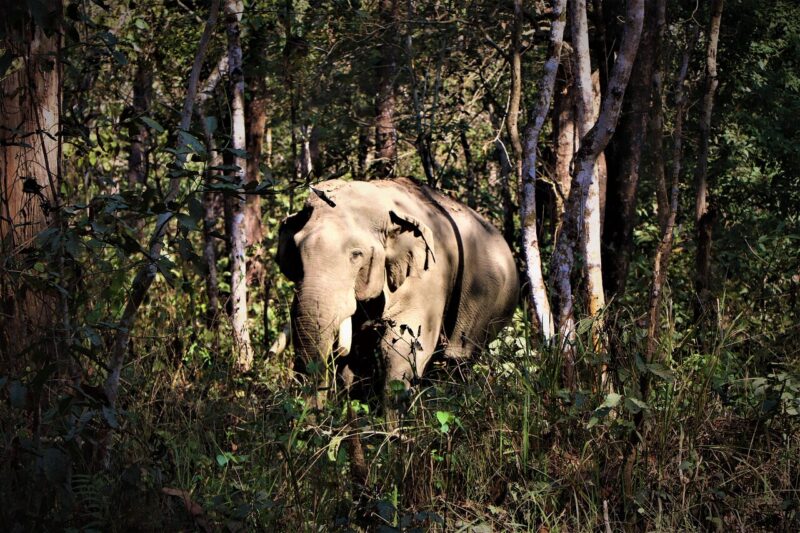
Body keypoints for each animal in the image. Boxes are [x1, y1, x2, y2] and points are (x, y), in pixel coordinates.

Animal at [277, 177, 519, 413]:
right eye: (295, 252)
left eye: (356, 254)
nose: (311, 417)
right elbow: (356, 356)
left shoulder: (428, 276)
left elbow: (401, 346)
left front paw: (392, 425)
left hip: (485, 310)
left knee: (457, 360)